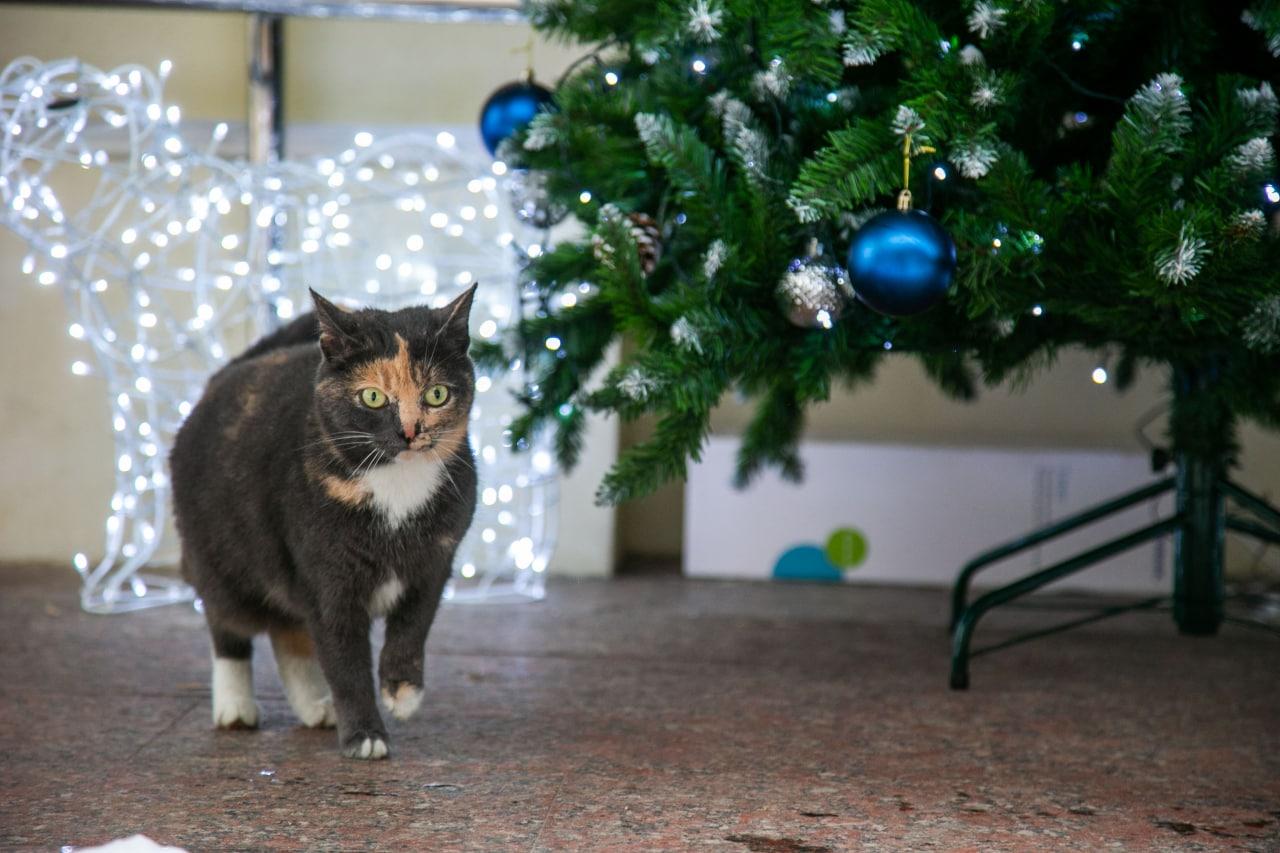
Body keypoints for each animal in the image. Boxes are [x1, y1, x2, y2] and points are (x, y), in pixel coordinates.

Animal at [170, 285, 481, 758]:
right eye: (372, 397)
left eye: (436, 395)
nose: (410, 431)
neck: (397, 490)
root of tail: (225, 375)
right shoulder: (327, 577)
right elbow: (344, 662)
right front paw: (365, 735)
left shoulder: (436, 563)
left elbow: (413, 626)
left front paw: (403, 691)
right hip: (221, 559)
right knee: (228, 627)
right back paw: (235, 707)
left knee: (290, 636)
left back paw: (315, 707)